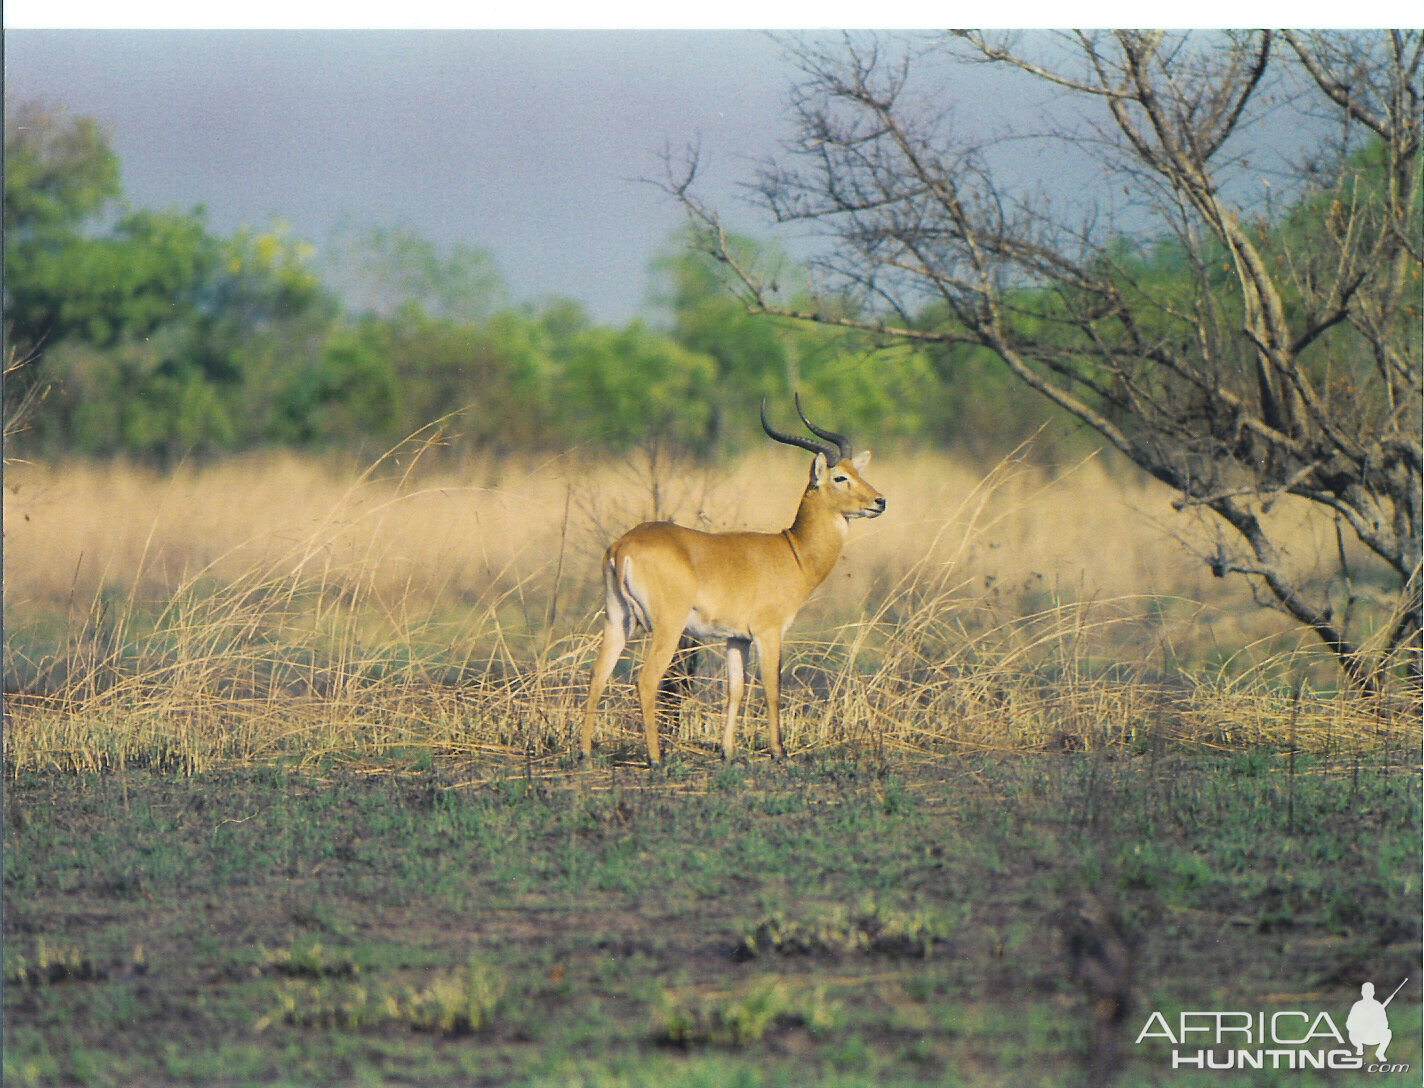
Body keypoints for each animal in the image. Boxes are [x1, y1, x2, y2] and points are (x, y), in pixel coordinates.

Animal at [580, 398, 888, 763]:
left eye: (858, 472)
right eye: (840, 477)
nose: (880, 501)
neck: (793, 552)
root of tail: (622, 546)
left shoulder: (736, 639)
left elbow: (736, 690)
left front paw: (727, 751)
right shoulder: (768, 633)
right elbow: (771, 689)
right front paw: (779, 752)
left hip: (618, 620)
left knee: (598, 673)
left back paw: (584, 753)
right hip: (668, 627)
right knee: (646, 679)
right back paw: (656, 758)